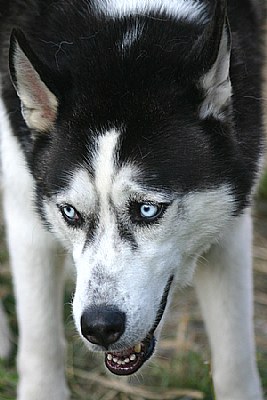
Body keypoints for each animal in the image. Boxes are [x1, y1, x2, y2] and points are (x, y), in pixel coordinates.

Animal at [0, 0, 266, 398]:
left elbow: (235, 356)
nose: (99, 327)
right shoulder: (26, 207)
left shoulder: (231, 214)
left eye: (147, 209)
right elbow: (40, 339)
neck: (123, 42)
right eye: (70, 212)